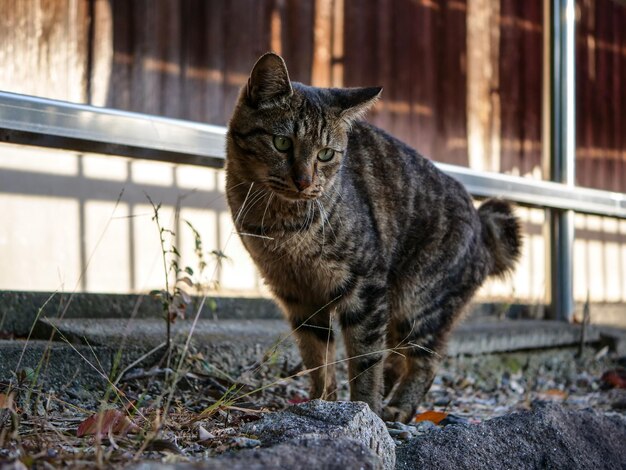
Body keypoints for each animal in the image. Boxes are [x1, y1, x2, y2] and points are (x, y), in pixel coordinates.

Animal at [224, 52, 520, 422]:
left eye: (325, 154)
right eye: (282, 143)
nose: (304, 181)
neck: (281, 227)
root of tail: (483, 223)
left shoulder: (364, 289)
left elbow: (364, 360)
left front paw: (365, 407)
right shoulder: (297, 294)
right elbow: (318, 359)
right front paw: (321, 402)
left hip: (418, 303)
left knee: (425, 359)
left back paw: (397, 408)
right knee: (395, 356)